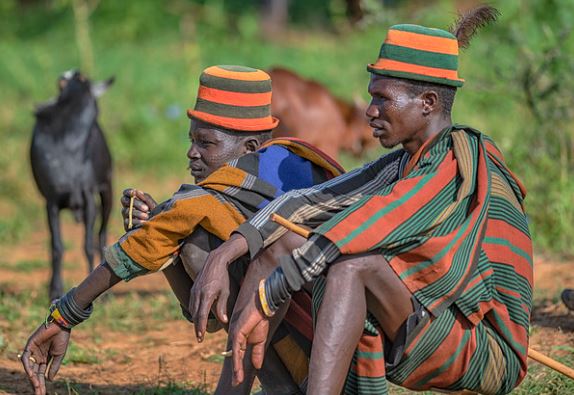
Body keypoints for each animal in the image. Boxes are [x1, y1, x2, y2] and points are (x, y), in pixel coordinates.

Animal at [30, 70, 115, 300]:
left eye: (80, 77)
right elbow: (57, 247)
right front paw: (55, 290)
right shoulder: (51, 202)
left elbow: (87, 245)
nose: (66, 73)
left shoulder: (89, 197)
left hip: (107, 190)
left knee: (101, 234)